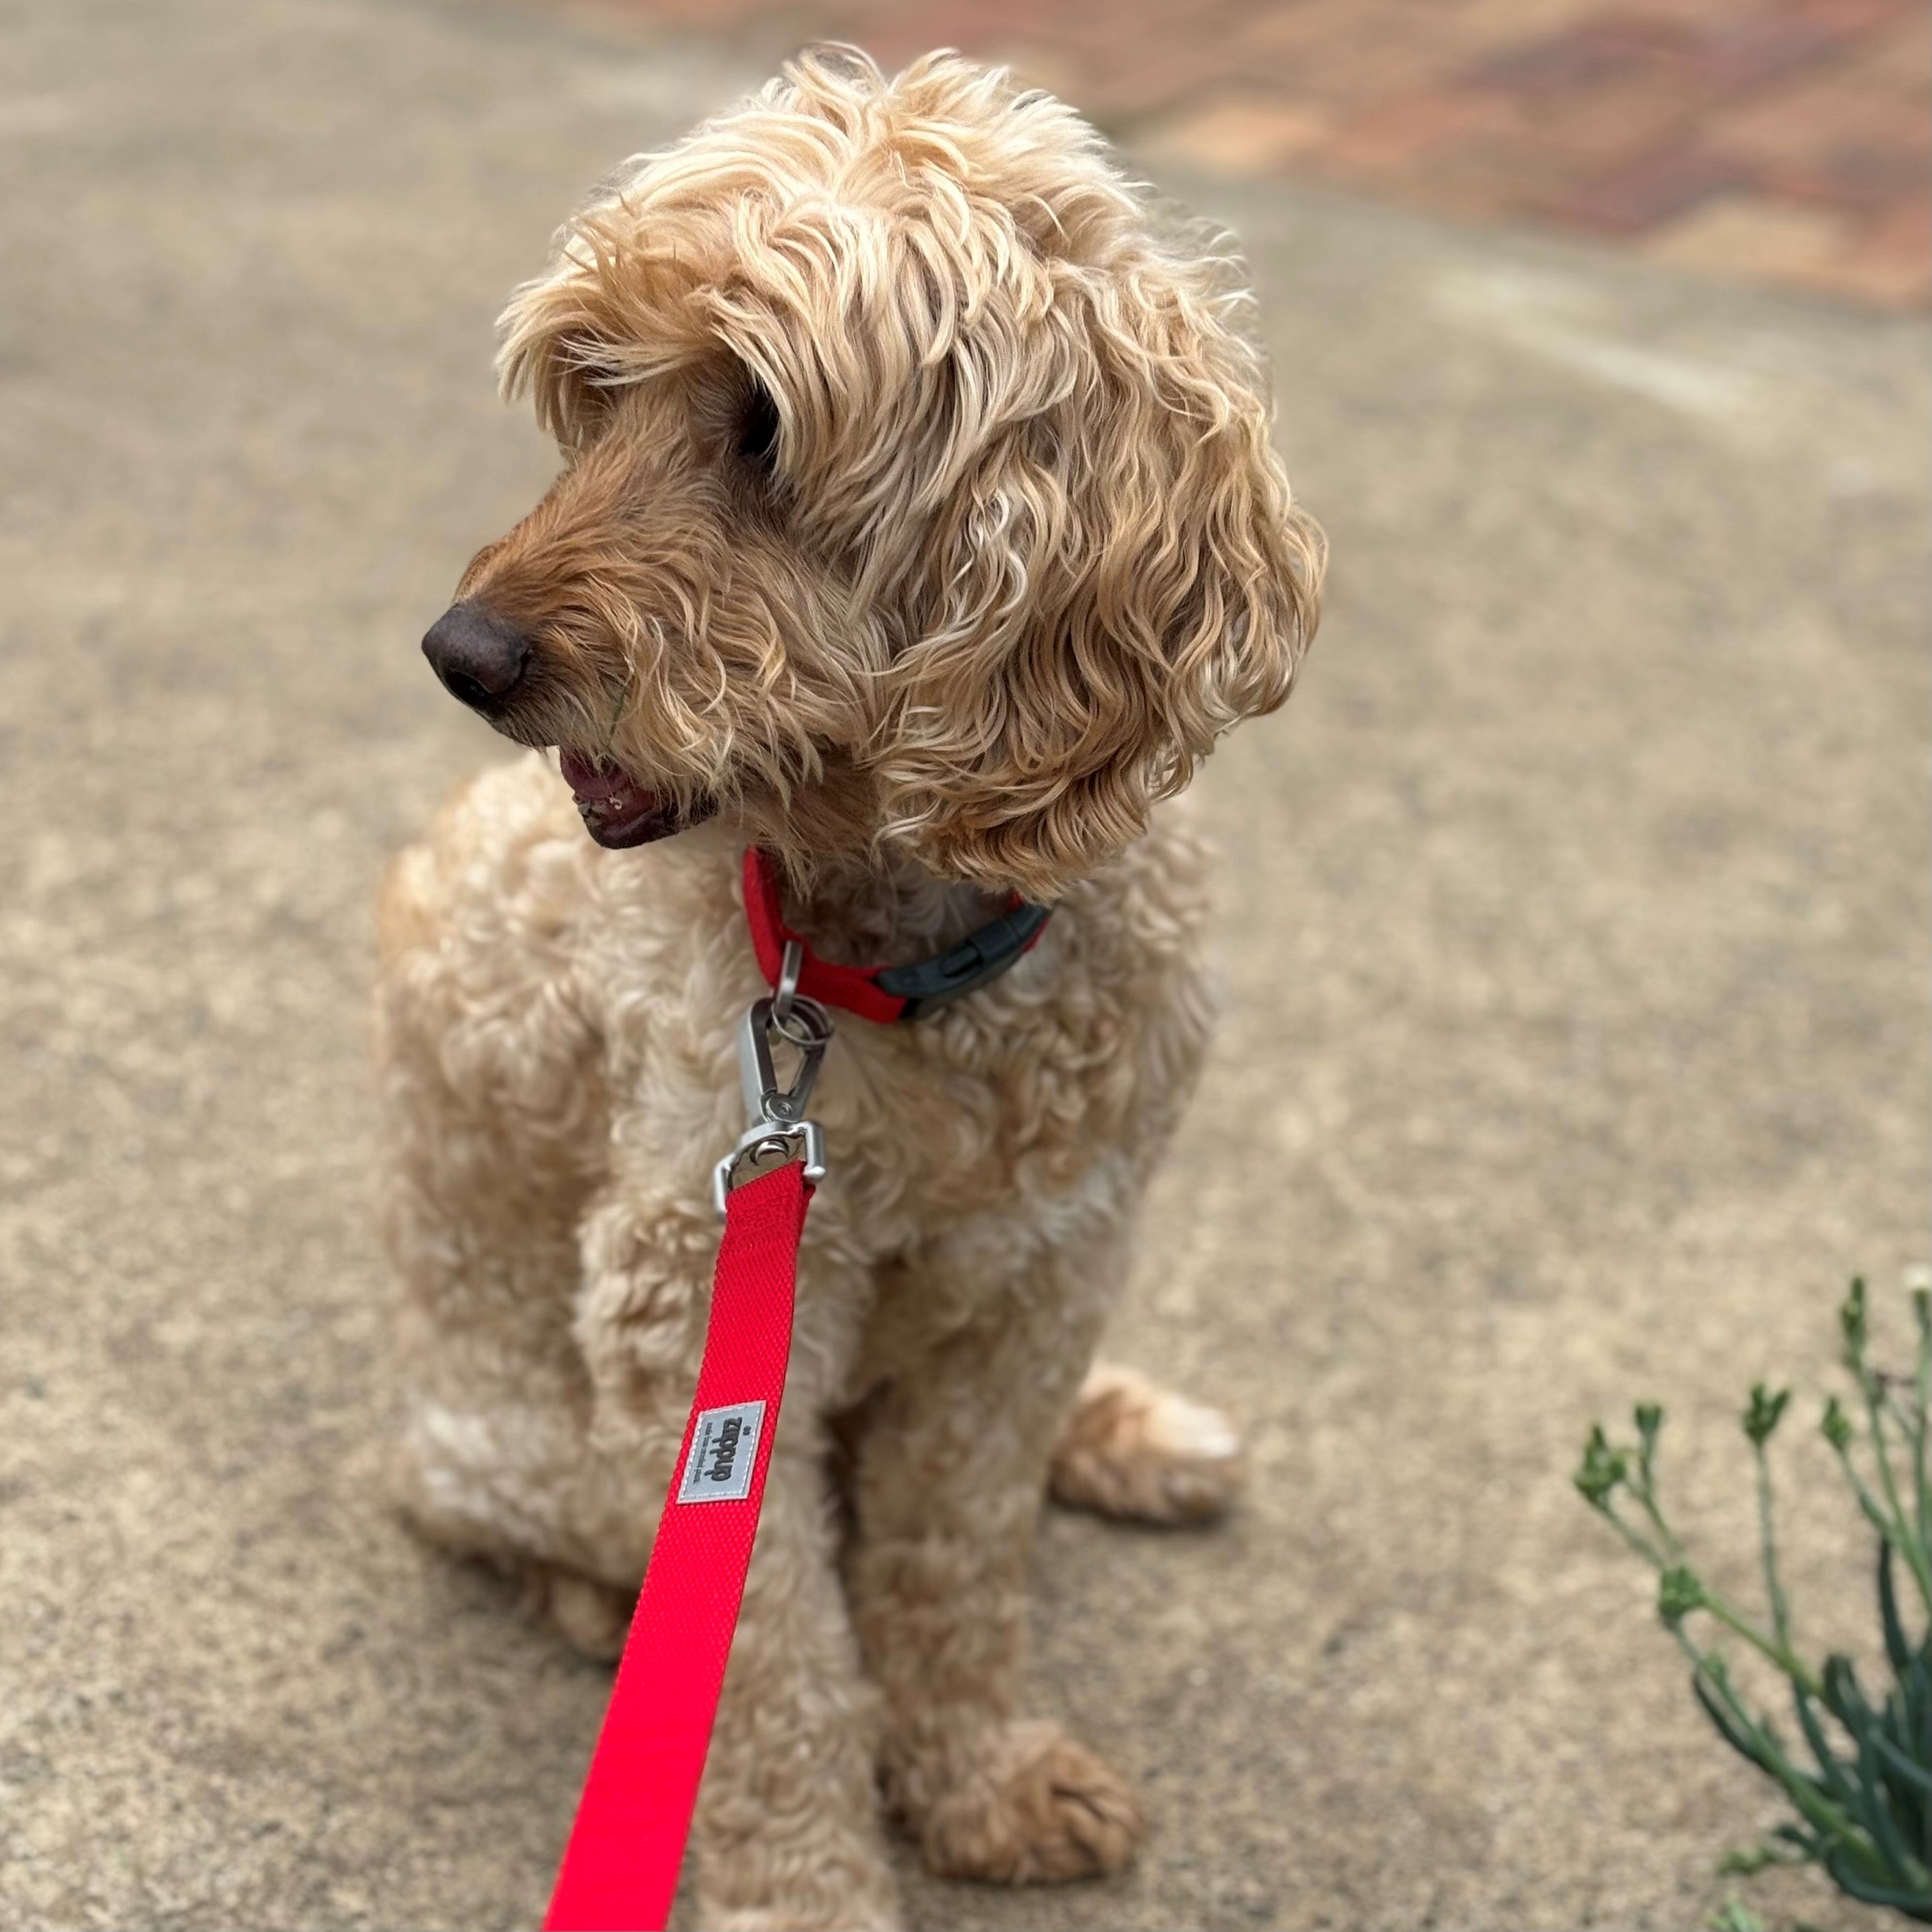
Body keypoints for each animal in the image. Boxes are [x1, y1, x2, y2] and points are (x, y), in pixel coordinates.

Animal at [371, 49, 1321, 1932]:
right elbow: (775, 1656)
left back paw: (1122, 1430)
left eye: (760, 423)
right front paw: (810, 1879)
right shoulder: (701, 1311)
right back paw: (594, 1603)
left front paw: (978, 1776)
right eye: (594, 385)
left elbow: (954, 1552)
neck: (908, 970)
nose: (462, 654)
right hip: (509, 1437)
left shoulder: (1045, 1263)